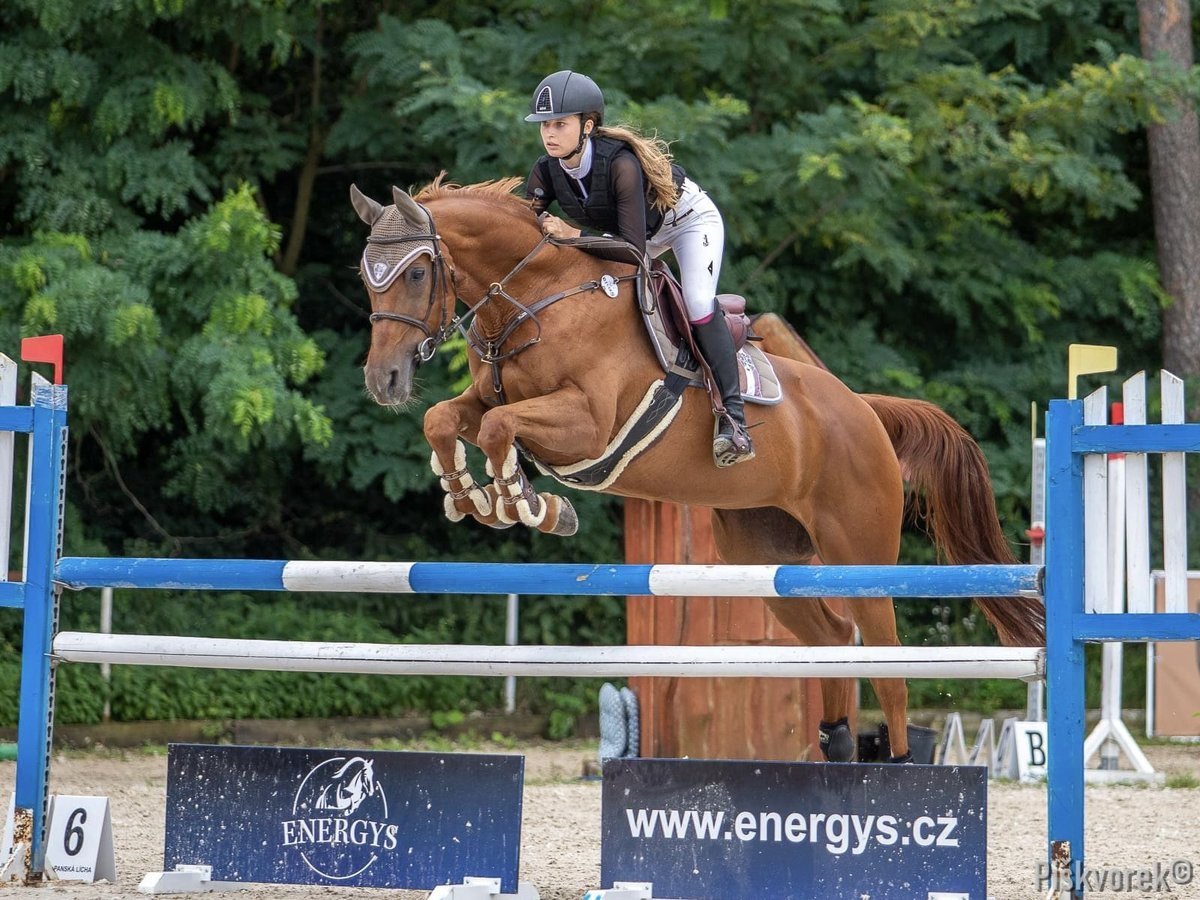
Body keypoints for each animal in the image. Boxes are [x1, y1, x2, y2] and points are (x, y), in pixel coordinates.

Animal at [348, 174, 1041, 763]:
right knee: (833, 636)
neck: (537, 299)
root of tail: (865, 410)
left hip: (861, 555)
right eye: (367, 277)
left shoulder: (587, 424)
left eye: (416, 274)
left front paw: (529, 503)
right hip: (763, 556)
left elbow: (498, 429)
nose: (384, 381)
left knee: (889, 670)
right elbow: (446, 418)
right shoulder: (489, 399)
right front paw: (471, 496)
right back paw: (837, 748)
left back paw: (894, 772)